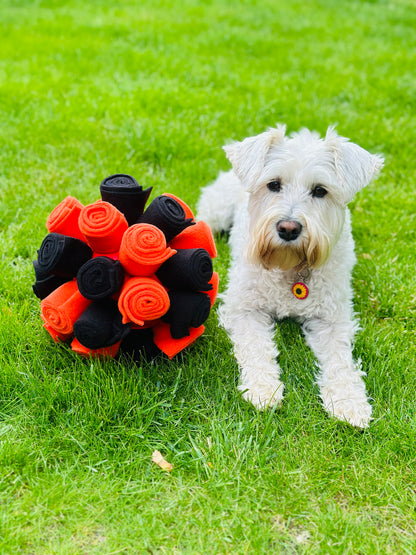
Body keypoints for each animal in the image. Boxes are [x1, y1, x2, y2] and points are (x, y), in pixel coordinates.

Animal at [198, 127, 384, 430]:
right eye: (274, 184)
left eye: (320, 190)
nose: (288, 228)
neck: (290, 266)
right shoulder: (244, 309)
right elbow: (257, 348)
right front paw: (262, 389)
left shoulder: (332, 319)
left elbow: (340, 362)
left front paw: (349, 402)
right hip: (216, 208)